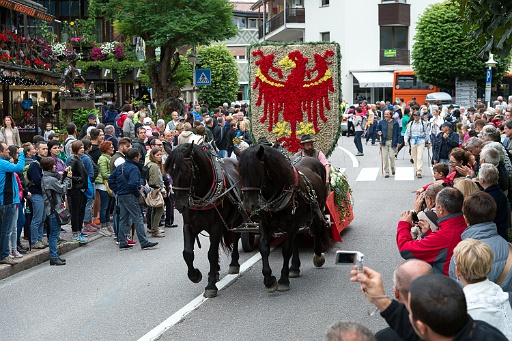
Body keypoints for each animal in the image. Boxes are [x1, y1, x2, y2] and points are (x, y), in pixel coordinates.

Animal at [165, 143, 243, 298]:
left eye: (186, 170)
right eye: (170, 171)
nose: (179, 205)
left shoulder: (216, 226)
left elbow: (211, 254)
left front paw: (211, 285)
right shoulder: (188, 226)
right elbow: (187, 253)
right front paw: (195, 275)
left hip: (236, 219)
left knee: (235, 237)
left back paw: (234, 263)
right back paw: (216, 270)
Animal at [238, 145, 334, 290]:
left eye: (257, 172)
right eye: (241, 173)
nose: (249, 204)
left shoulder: (293, 223)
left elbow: (286, 249)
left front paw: (283, 279)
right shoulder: (265, 223)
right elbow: (264, 247)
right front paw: (269, 279)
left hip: (317, 209)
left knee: (317, 228)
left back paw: (317, 255)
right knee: (296, 239)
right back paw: (294, 267)